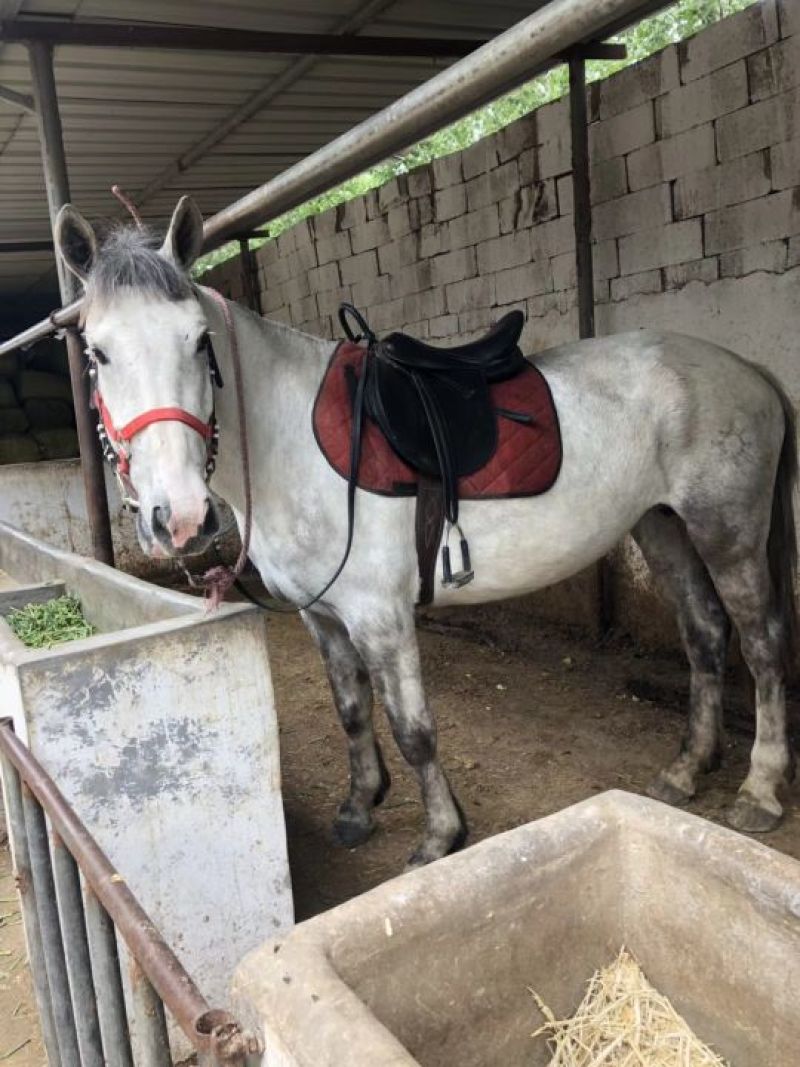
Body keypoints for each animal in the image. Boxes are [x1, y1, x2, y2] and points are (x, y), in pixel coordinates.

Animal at [53, 195, 798, 869]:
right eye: (97, 353)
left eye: (199, 340)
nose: (179, 516)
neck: (290, 441)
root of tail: (747, 370)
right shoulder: (322, 617)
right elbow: (352, 710)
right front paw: (359, 808)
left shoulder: (379, 616)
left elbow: (413, 729)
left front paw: (441, 836)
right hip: (662, 526)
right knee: (705, 633)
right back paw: (686, 770)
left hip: (727, 529)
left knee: (762, 644)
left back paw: (759, 790)